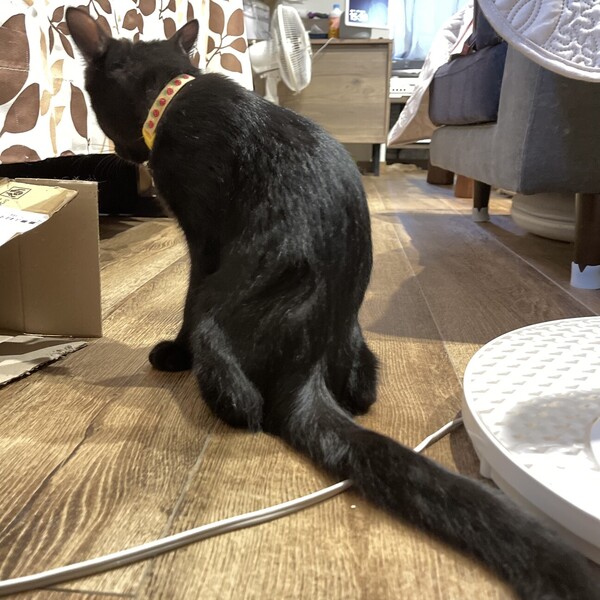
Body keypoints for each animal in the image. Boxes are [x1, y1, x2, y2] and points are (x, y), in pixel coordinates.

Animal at [66, 8, 599, 599]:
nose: (124, 157)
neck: (173, 92)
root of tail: (311, 356)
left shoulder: (202, 243)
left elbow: (184, 302)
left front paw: (171, 352)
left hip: (219, 308)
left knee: (241, 395)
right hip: (358, 345)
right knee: (360, 393)